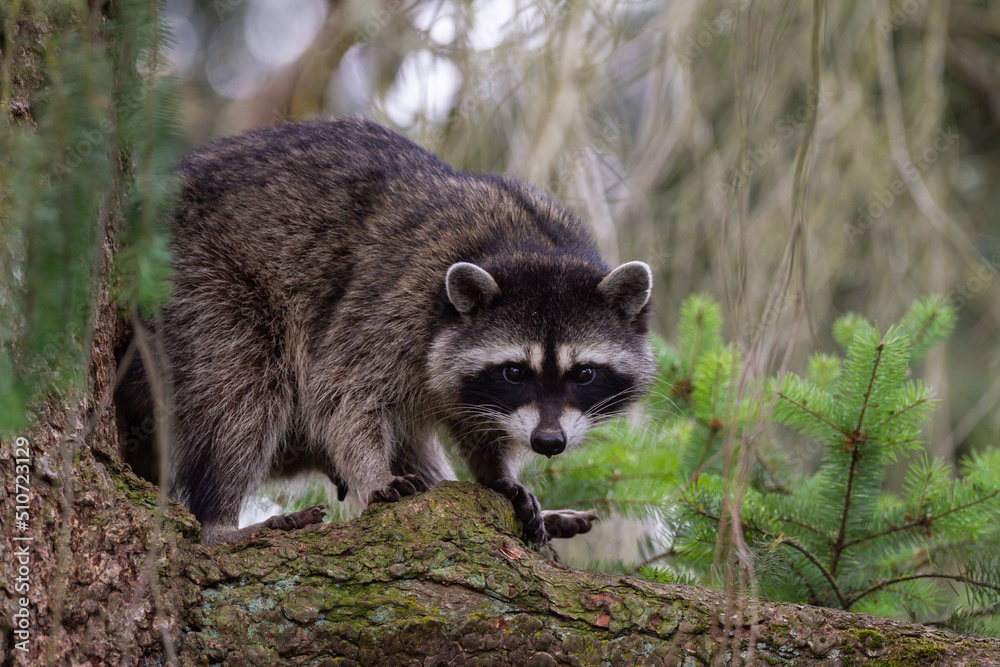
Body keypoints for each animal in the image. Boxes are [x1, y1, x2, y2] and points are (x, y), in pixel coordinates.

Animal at [116, 117, 655, 545]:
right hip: (196, 281)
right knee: (242, 388)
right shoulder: (394, 298)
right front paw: (373, 472)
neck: (531, 245)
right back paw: (220, 521)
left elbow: (474, 421)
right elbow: (340, 394)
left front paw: (496, 473)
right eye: (515, 372)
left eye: (583, 373)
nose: (548, 443)